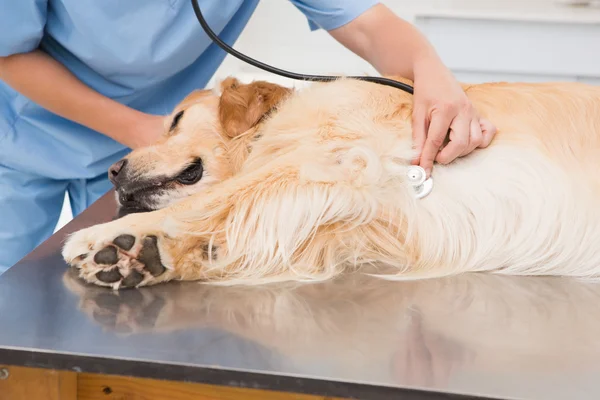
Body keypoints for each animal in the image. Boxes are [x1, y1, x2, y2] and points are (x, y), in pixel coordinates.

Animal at [62, 75, 600, 290]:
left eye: (174, 121)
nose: (112, 171)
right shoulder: (355, 222)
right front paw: (144, 256)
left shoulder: (335, 160)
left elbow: (218, 196)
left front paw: (100, 237)